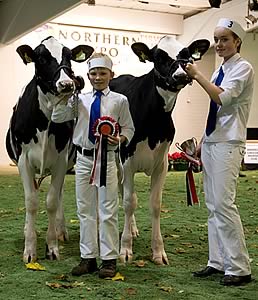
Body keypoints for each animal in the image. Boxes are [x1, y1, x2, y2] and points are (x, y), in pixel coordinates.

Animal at [5, 36, 93, 262]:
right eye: (41, 59)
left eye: (69, 57)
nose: (67, 84)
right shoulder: (23, 161)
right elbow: (31, 202)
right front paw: (30, 249)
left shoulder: (61, 161)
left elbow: (52, 201)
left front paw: (52, 246)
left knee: (59, 194)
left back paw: (61, 231)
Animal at [109, 35, 210, 264]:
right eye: (159, 57)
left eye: (186, 55)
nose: (181, 75)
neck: (154, 120)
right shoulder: (128, 160)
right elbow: (129, 202)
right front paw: (125, 249)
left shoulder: (162, 163)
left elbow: (155, 204)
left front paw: (158, 251)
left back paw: (133, 229)